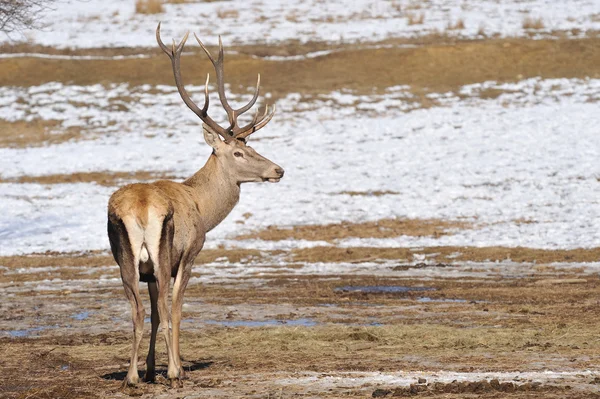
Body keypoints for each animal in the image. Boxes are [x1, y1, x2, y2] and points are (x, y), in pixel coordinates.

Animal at [106, 23, 284, 390]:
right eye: (239, 152)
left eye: (251, 147)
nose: (278, 170)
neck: (202, 207)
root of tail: (140, 208)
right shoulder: (188, 255)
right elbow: (174, 309)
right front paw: (174, 369)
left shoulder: (149, 271)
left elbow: (154, 313)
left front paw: (149, 370)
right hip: (164, 250)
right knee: (166, 306)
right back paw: (174, 372)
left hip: (124, 257)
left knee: (136, 309)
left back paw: (131, 377)